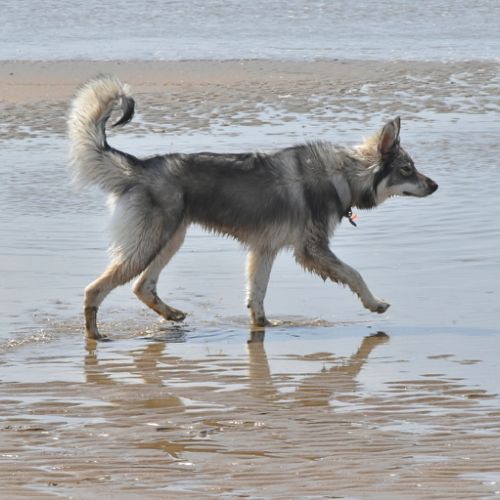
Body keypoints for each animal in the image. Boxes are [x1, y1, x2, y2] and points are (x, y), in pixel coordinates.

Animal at [68, 75, 438, 340]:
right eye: (407, 169)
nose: (435, 185)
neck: (344, 174)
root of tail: (140, 167)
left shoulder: (264, 250)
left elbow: (257, 296)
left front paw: (263, 326)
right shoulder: (311, 250)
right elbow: (354, 273)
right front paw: (374, 303)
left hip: (171, 239)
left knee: (142, 286)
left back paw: (170, 315)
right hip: (149, 243)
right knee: (94, 289)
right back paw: (95, 335)